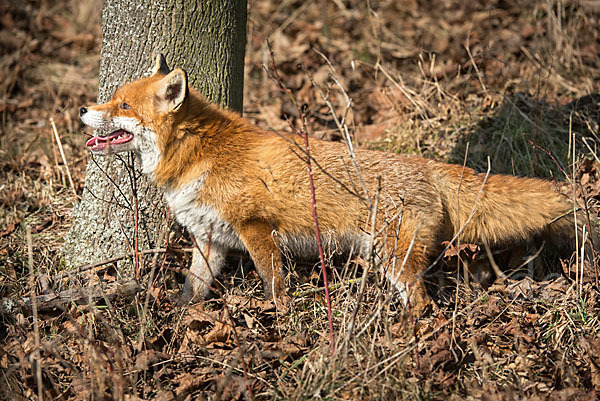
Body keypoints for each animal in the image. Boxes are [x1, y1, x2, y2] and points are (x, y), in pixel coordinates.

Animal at [79, 53, 592, 310]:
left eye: (123, 105)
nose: (83, 109)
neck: (196, 155)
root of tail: (425, 166)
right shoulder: (210, 240)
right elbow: (192, 290)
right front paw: (178, 318)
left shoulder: (257, 228)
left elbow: (274, 284)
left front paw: (279, 321)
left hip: (395, 259)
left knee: (423, 303)